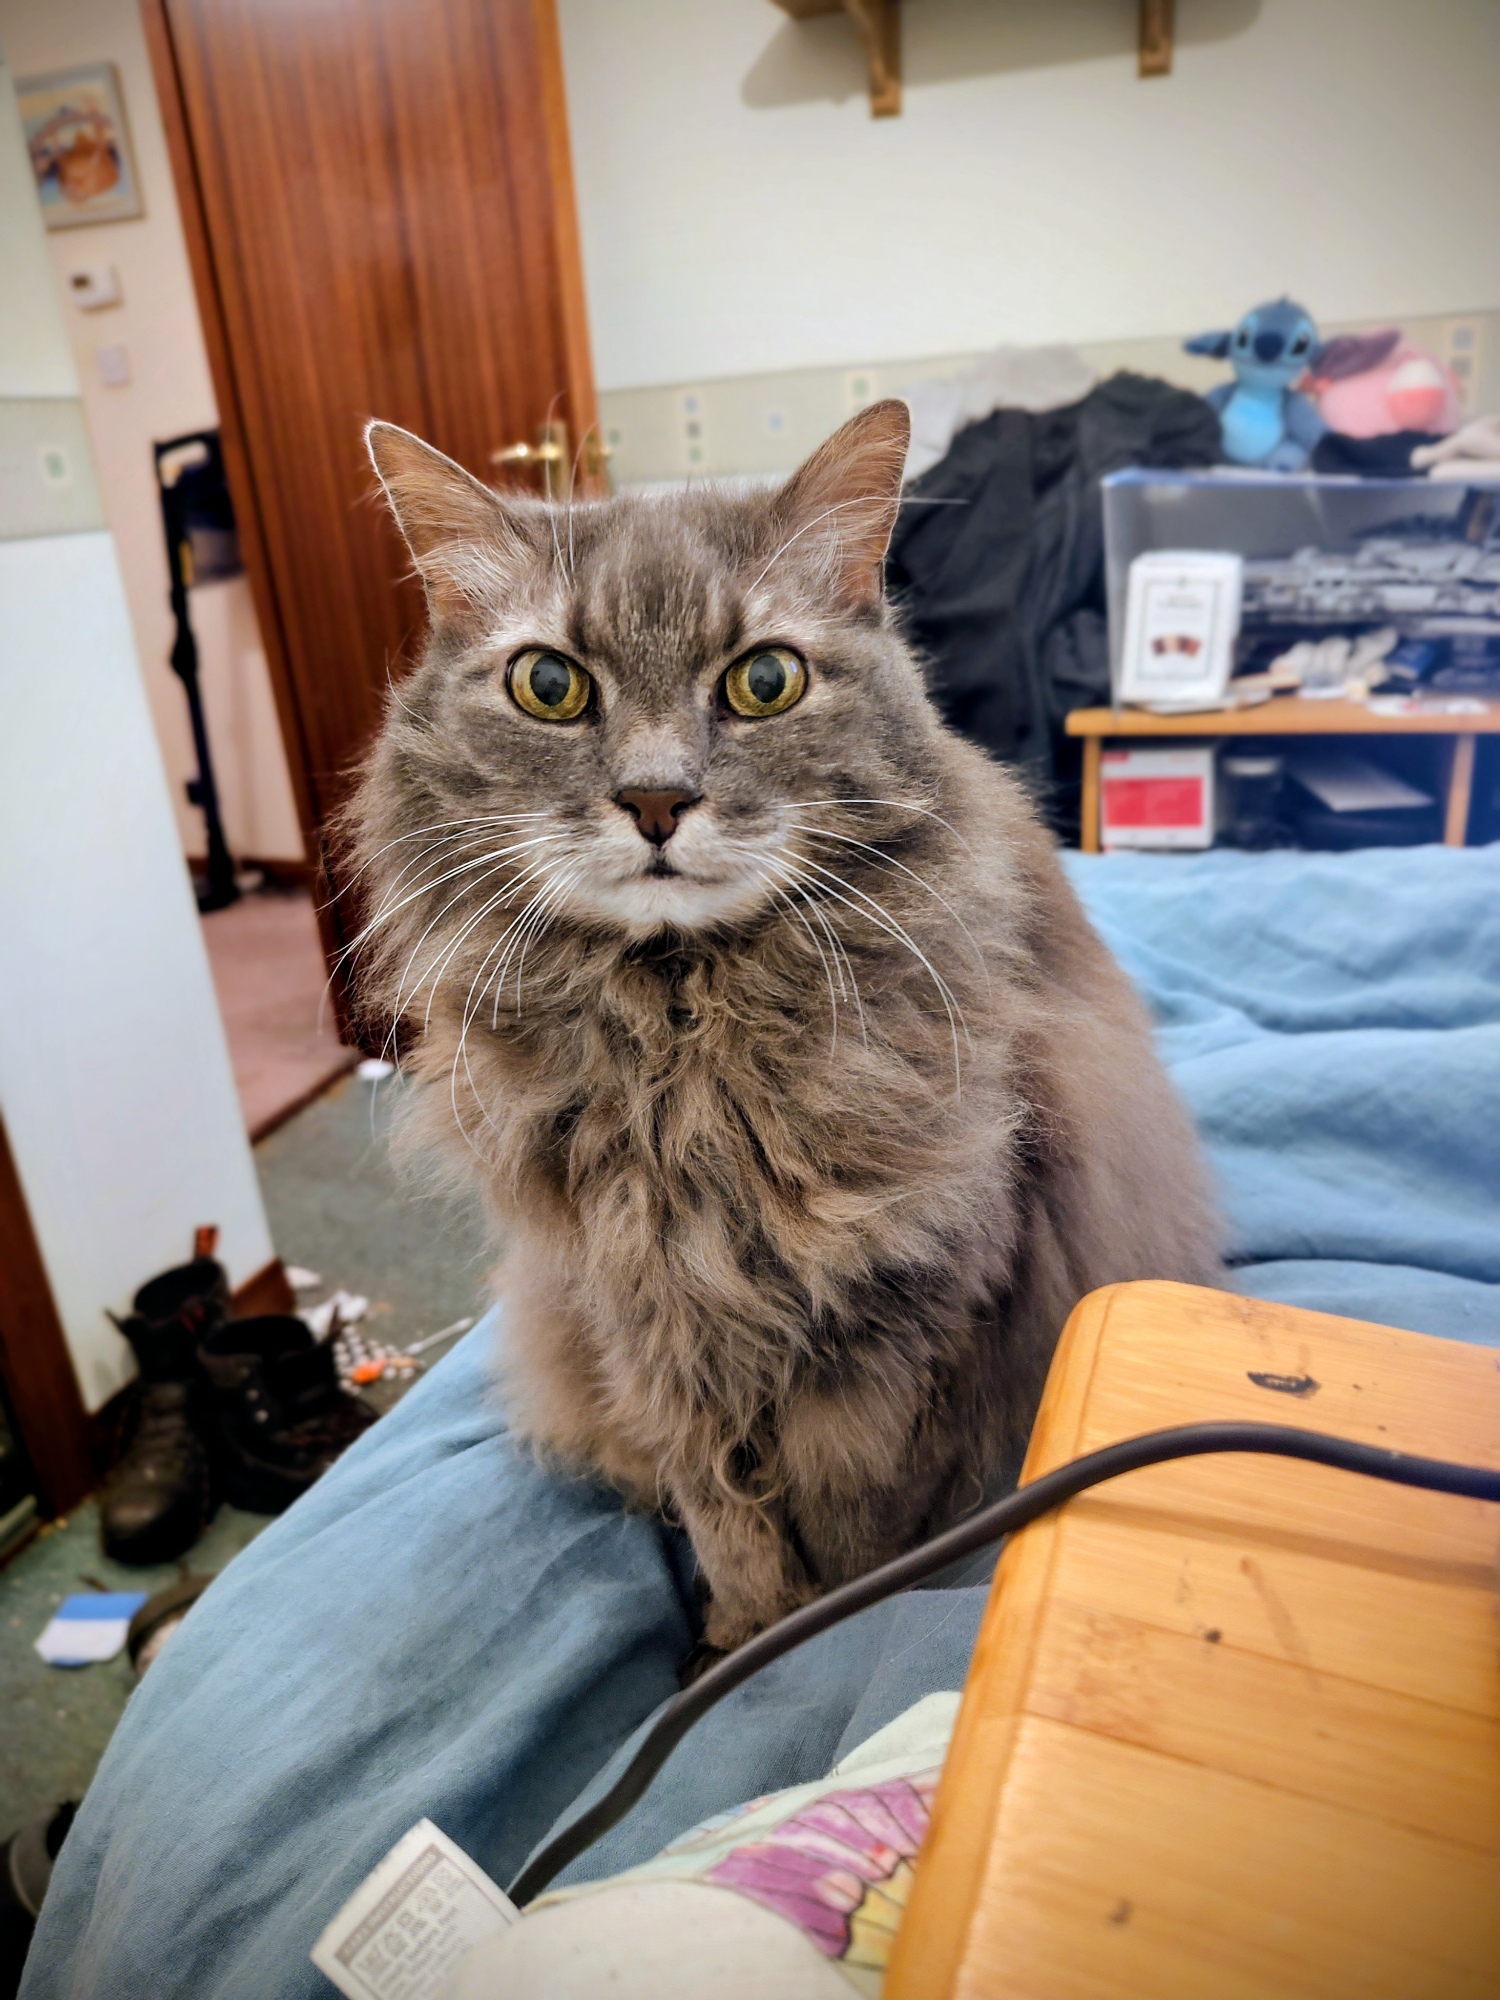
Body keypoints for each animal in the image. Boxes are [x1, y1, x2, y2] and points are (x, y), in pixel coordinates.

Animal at [349, 399, 1221, 1660]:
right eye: (549, 685)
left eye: (764, 680)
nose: (657, 800)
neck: (688, 1043)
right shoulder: (635, 1303)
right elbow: (720, 1500)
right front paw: (745, 1625)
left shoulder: (909, 1307)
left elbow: (858, 1512)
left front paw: (813, 1641)